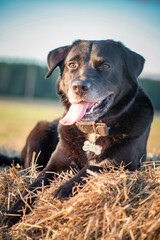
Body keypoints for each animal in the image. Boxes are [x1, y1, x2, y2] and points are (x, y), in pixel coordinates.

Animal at [2, 39, 153, 227]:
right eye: (72, 64)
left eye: (105, 65)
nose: (79, 87)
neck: (92, 130)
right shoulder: (55, 165)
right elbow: (33, 187)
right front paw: (14, 211)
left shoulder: (122, 165)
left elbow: (90, 170)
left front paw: (64, 188)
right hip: (40, 130)